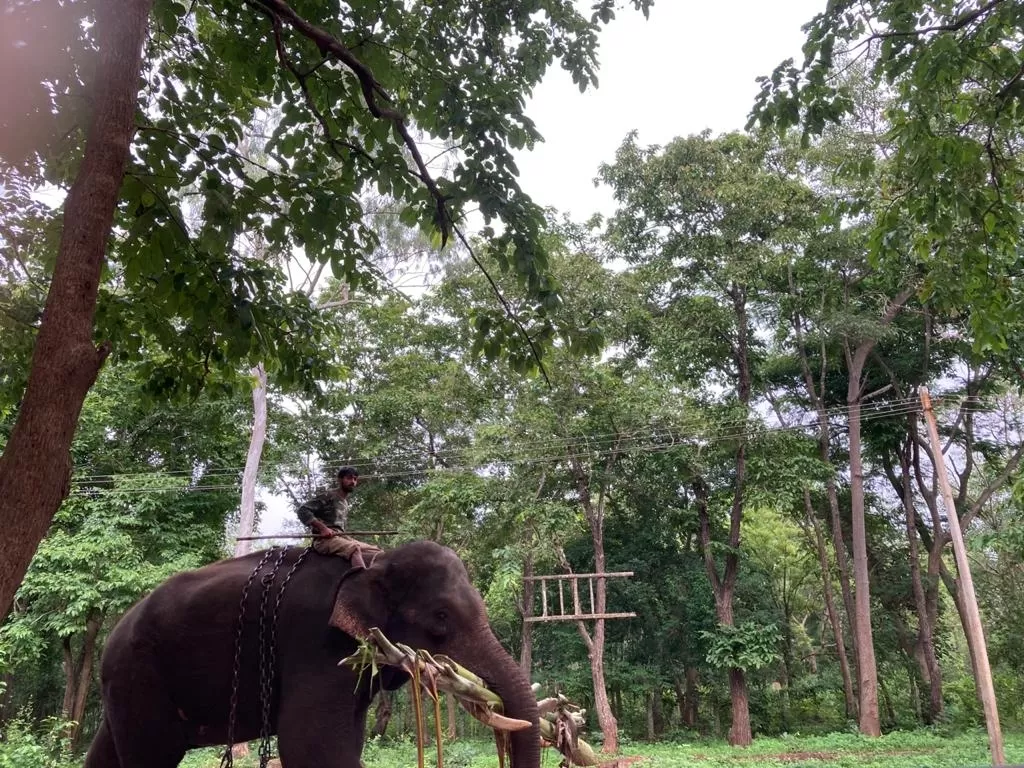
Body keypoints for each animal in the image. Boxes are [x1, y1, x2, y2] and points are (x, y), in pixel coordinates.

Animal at [83, 540, 540, 768]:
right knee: (151, 756)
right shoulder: (315, 642)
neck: (372, 560)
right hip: (139, 675)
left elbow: (345, 740)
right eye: (441, 617)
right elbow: (312, 745)